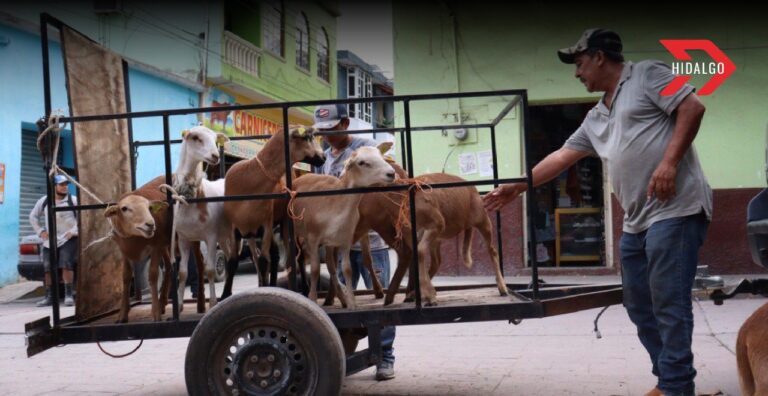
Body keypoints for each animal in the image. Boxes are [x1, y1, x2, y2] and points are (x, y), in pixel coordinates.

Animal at [171, 125, 234, 310]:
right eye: (196, 138)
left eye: (215, 139)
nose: (215, 156)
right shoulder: (183, 238)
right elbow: (182, 273)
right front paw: (179, 305)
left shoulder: (210, 236)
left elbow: (211, 270)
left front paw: (212, 303)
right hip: (224, 236)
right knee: (230, 259)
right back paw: (227, 294)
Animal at [225, 127, 328, 290]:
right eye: (307, 137)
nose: (324, 157)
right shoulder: (235, 229)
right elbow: (232, 263)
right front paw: (225, 294)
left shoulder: (265, 225)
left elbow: (263, 261)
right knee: (271, 255)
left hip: (283, 222)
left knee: (289, 258)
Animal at [292, 146, 396, 310]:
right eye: (362, 162)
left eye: (380, 156)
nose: (391, 173)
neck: (338, 202)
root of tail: (300, 177)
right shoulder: (313, 239)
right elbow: (315, 270)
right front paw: (313, 300)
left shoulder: (345, 239)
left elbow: (347, 269)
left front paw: (352, 302)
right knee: (300, 259)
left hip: (329, 243)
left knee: (331, 266)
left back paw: (341, 299)